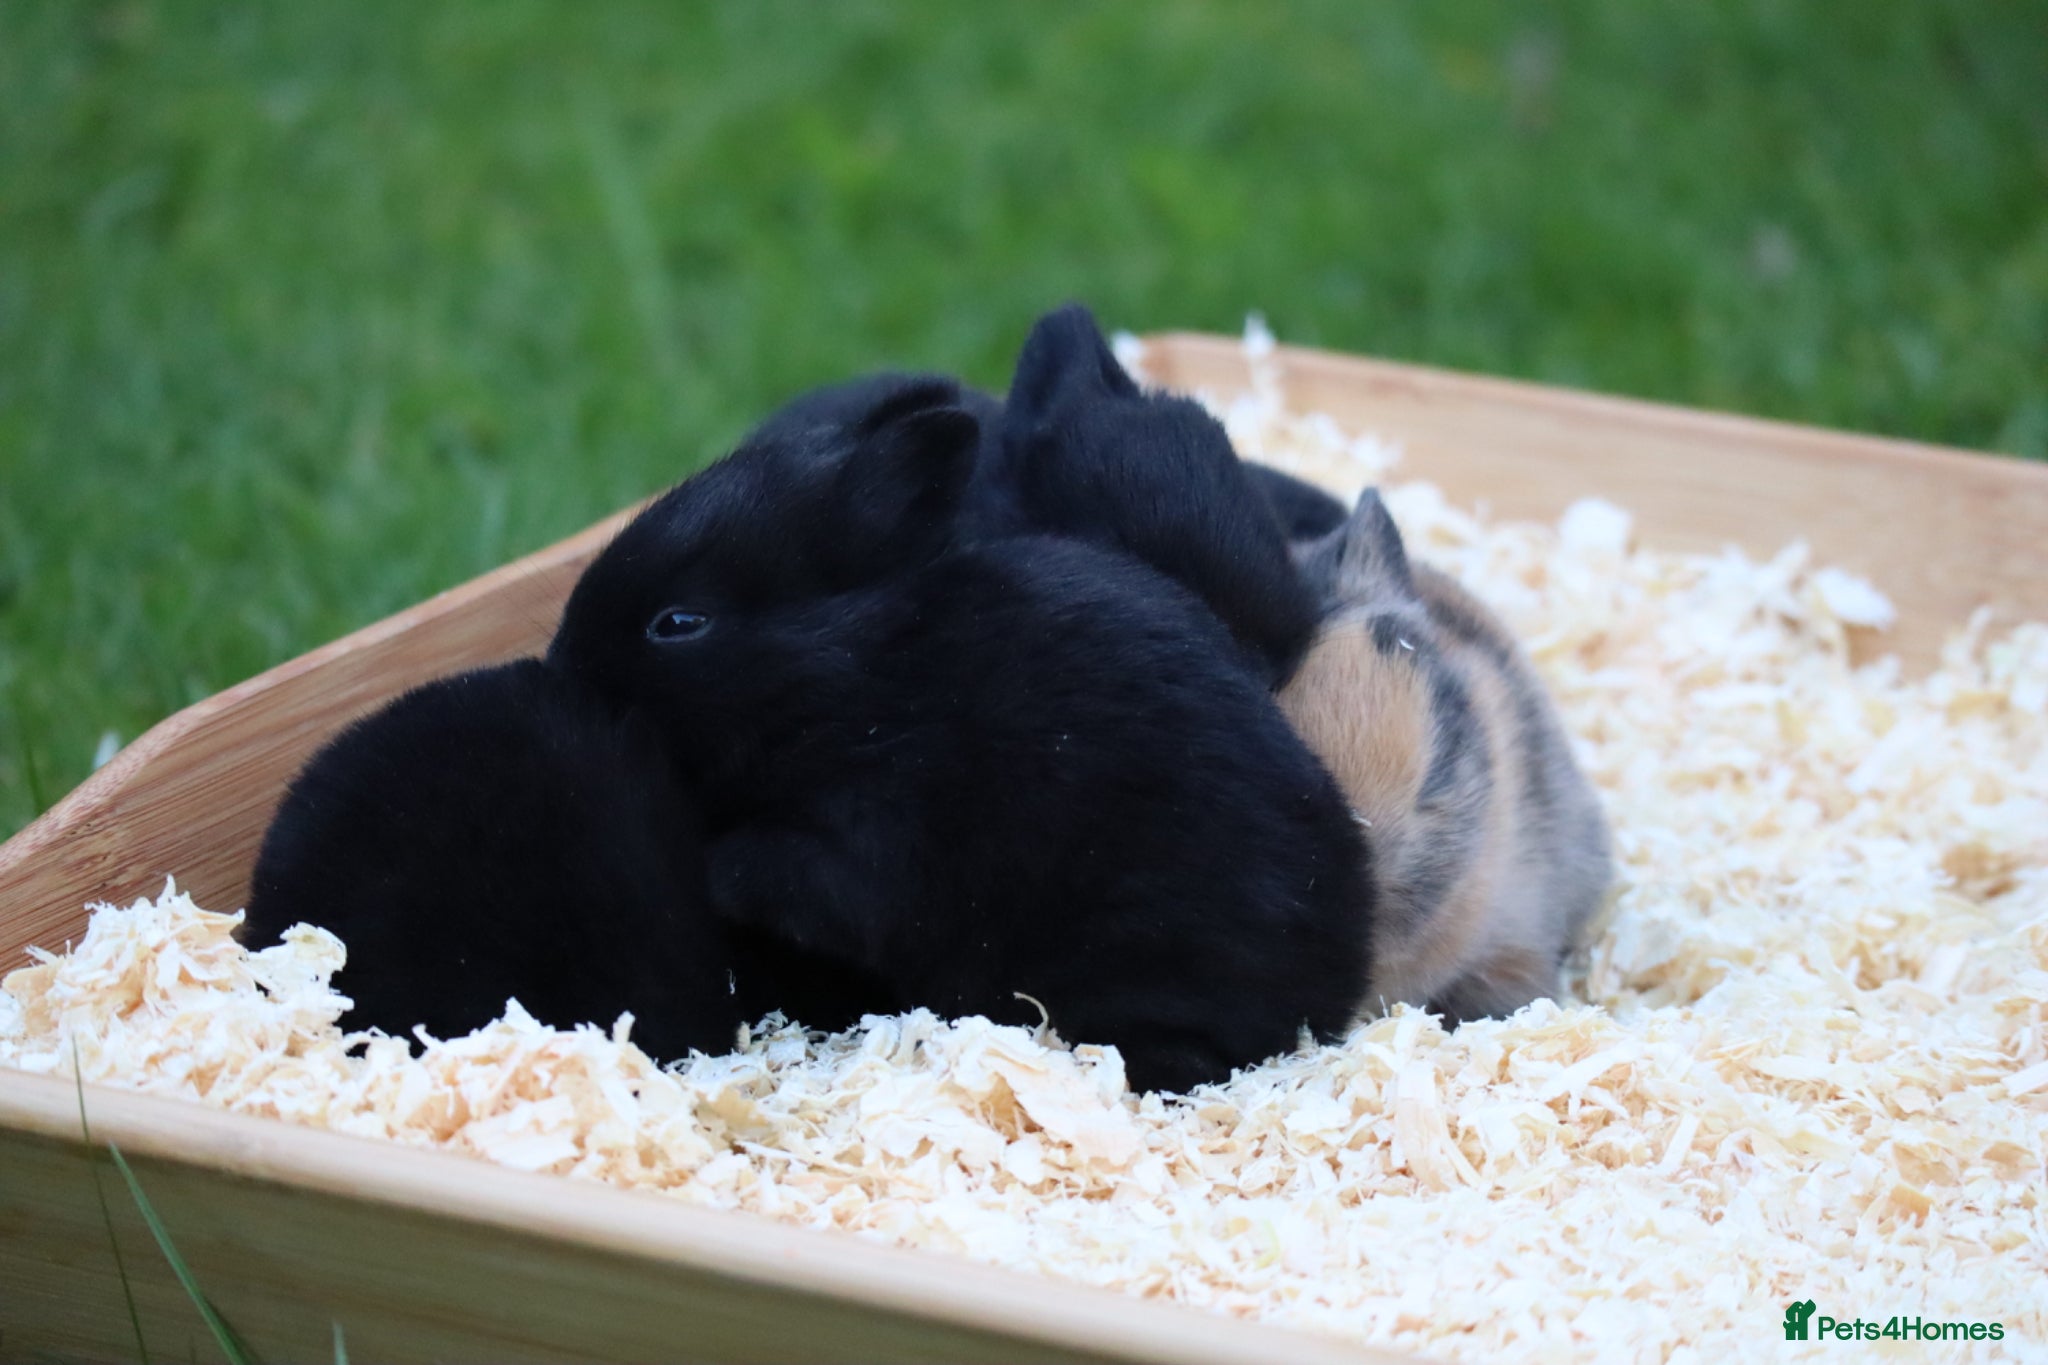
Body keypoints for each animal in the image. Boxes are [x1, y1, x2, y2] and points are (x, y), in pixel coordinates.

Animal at [547, 384, 1374, 1094]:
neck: (858, 670)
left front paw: (713, 866)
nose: (559, 666)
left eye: (679, 622)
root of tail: (1333, 1001)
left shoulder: (869, 830)